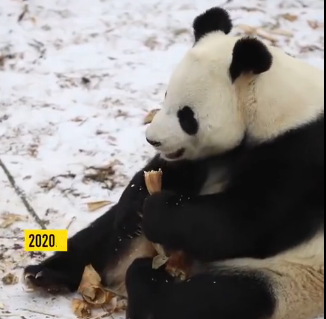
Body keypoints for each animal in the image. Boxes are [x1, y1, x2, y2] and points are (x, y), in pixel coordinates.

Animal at [23, 6, 324, 319]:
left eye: (187, 116)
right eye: (166, 95)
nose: (152, 139)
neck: (270, 102)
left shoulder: (301, 153)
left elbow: (249, 222)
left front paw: (157, 210)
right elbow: (172, 174)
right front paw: (136, 202)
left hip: (291, 279)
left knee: (214, 298)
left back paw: (146, 280)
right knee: (105, 236)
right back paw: (47, 274)